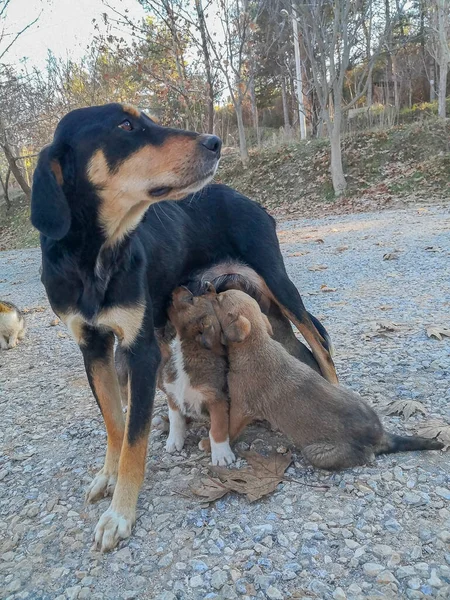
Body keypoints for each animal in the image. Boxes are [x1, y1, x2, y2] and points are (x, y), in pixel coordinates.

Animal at [31, 102, 338, 548]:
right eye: (126, 125)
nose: (215, 142)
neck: (94, 256)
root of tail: (250, 200)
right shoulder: (93, 349)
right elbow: (115, 424)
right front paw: (108, 475)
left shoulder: (140, 350)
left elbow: (134, 440)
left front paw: (120, 513)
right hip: (260, 299)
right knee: (298, 348)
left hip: (276, 282)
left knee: (319, 343)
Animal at [212, 290, 442, 468]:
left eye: (220, 298)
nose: (207, 285)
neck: (256, 343)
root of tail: (382, 436)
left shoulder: (241, 406)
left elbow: (229, 428)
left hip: (316, 453)